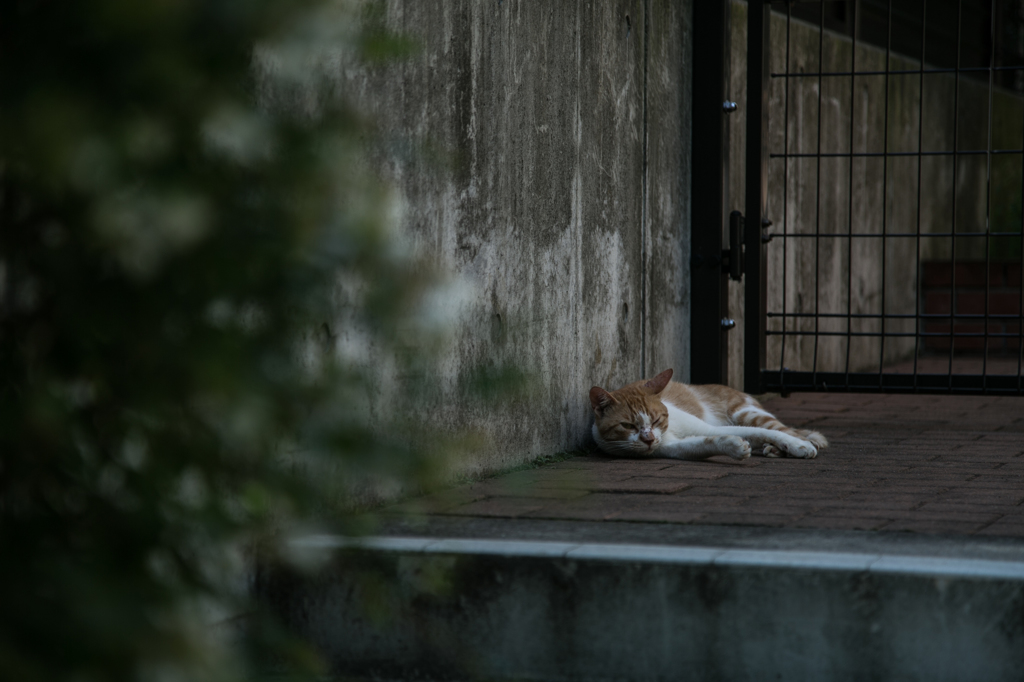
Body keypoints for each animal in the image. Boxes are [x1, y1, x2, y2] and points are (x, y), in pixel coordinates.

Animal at [589, 368, 827, 458]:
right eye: (627, 426)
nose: (648, 439)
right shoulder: (671, 447)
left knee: (783, 428)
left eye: (656, 419)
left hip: (746, 412)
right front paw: (734, 446)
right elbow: (704, 443)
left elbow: (761, 432)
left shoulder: (709, 426)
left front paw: (799, 446)